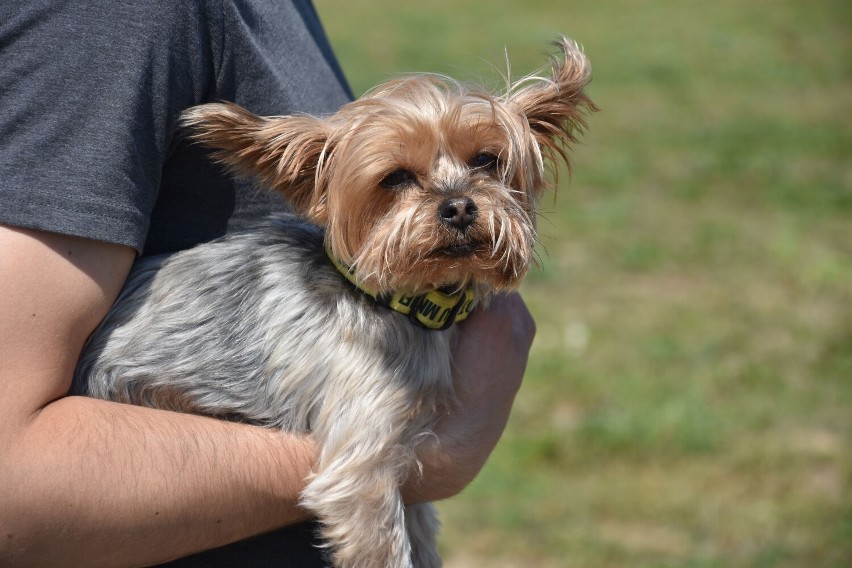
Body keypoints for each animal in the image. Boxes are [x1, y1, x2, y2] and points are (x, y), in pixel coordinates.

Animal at [71, 37, 592, 564]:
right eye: (395, 177)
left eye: (486, 159)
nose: (460, 205)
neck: (392, 303)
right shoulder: (361, 464)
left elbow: (422, 531)